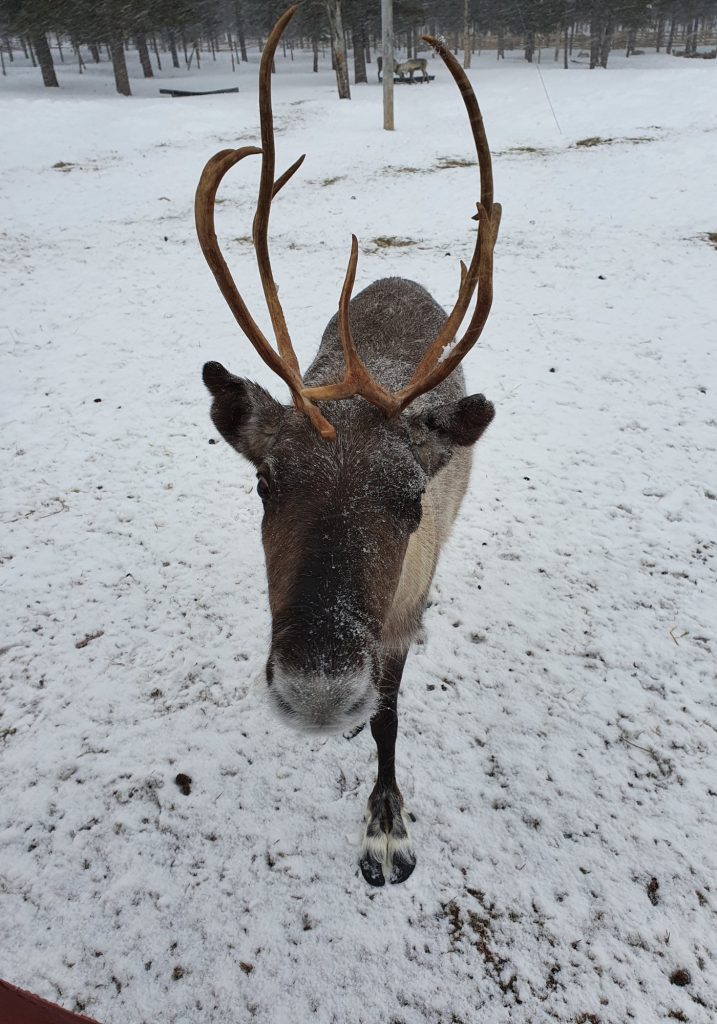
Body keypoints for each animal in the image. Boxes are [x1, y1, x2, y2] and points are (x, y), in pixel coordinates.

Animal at [196, 6, 501, 887]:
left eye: (410, 501)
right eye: (263, 484)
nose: (317, 695)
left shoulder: (395, 619)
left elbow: (390, 716)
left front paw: (386, 828)